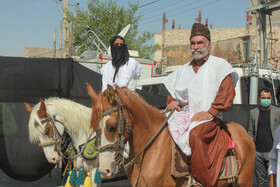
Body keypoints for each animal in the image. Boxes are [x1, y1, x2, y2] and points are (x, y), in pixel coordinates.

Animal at [88, 85, 256, 187]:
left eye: (112, 126)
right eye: (95, 127)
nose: (104, 170)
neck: (149, 150)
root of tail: (243, 132)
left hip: (244, 181)